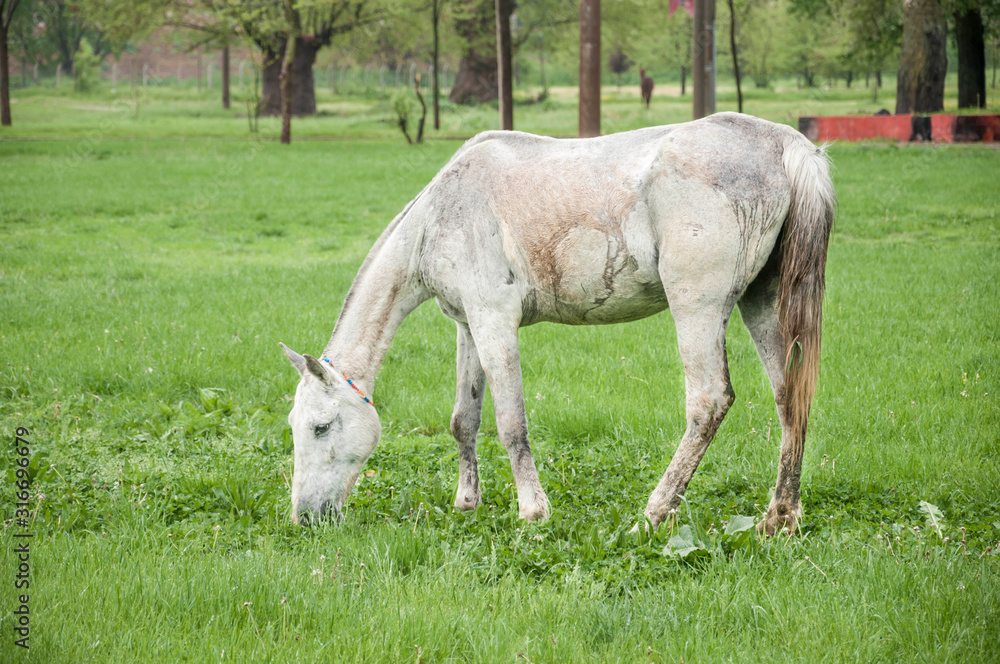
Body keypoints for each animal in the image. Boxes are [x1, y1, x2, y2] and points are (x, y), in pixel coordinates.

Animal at [281, 112, 835, 536]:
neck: (441, 214)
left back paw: (653, 515)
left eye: (321, 426)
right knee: (790, 399)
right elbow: (464, 420)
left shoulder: (495, 323)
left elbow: (511, 424)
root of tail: (787, 145)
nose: (305, 517)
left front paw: (533, 511)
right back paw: (779, 519)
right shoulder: (469, 327)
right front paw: (466, 504)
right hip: (763, 305)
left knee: (708, 403)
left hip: (696, 308)